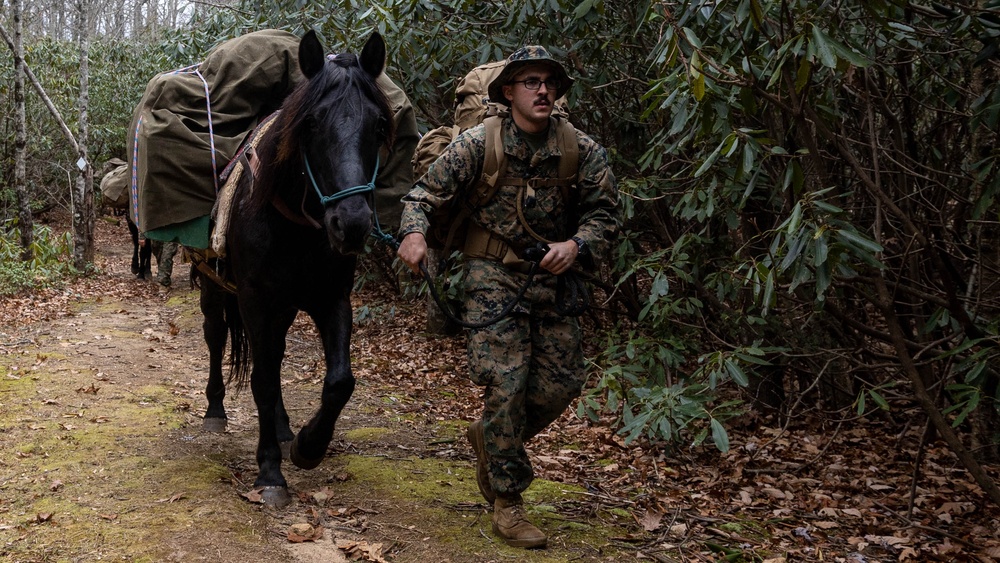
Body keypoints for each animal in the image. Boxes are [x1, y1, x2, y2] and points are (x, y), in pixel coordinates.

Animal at [195, 28, 394, 508]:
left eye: (379, 125)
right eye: (311, 123)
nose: (352, 224)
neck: (296, 229)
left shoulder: (331, 299)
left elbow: (340, 381)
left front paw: (307, 445)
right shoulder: (254, 302)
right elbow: (263, 381)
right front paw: (269, 472)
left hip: (284, 309)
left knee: (277, 354)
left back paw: (285, 428)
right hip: (216, 291)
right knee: (216, 338)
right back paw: (215, 411)